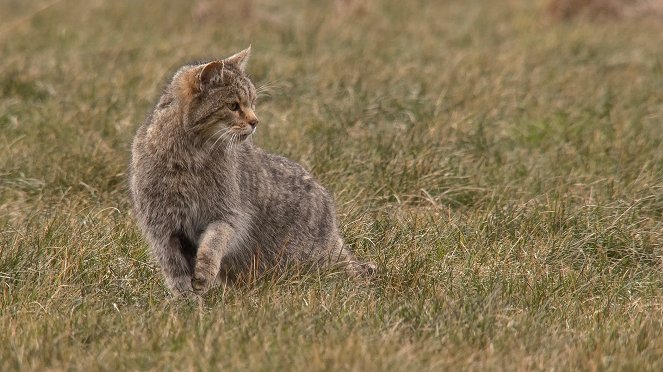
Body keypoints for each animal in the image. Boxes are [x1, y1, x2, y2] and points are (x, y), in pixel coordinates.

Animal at [130, 47, 376, 296]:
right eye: (233, 106)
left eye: (253, 103)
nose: (255, 121)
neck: (191, 155)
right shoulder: (163, 229)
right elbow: (176, 274)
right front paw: (188, 302)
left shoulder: (227, 215)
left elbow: (213, 243)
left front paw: (204, 273)